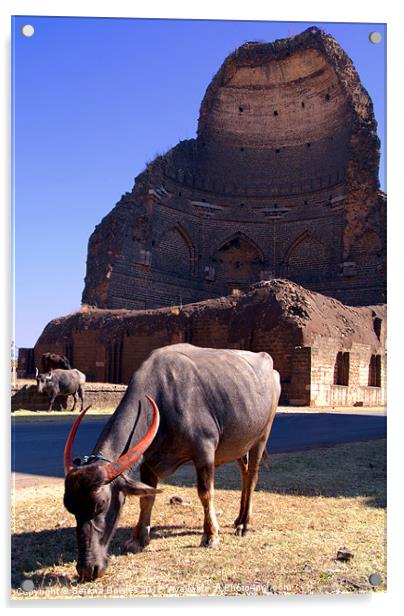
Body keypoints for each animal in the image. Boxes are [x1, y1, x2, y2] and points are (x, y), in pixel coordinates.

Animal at [62, 344, 280, 580]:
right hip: (240, 446)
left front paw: (210, 535)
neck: (165, 399)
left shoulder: (204, 451)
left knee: (252, 477)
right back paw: (238, 519)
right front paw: (138, 539)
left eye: (100, 505)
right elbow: (146, 499)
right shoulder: (148, 462)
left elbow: (205, 493)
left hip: (261, 436)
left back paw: (245, 525)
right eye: (70, 507)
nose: (87, 569)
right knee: (244, 475)